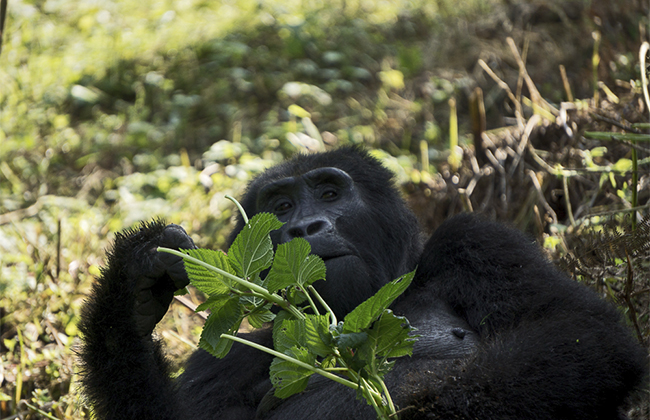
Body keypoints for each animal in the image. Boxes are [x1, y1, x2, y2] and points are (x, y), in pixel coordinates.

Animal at [79, 146, 644, 418]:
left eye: (330, 193)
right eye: (281, 207)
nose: (304, 228)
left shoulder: (475, 240)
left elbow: (578, 331)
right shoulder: (226, 356)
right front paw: (129, 295)